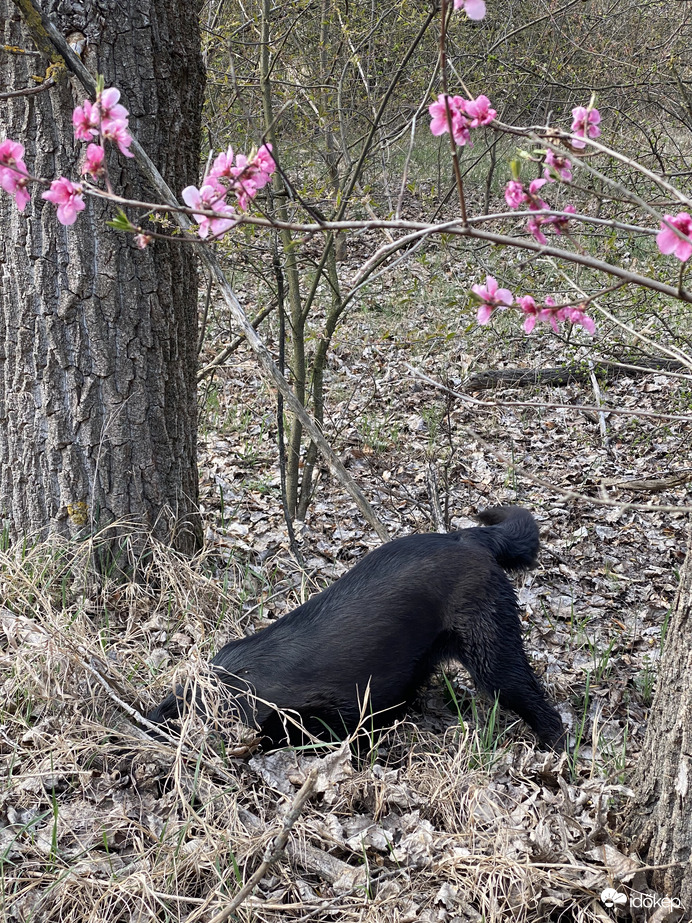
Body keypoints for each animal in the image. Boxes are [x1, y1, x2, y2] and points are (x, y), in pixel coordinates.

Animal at [149, 506, 564, 752]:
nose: (149, 725)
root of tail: (469, 536)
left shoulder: (336, 711)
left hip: (492, 654)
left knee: (537, 702)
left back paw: (556, 748)